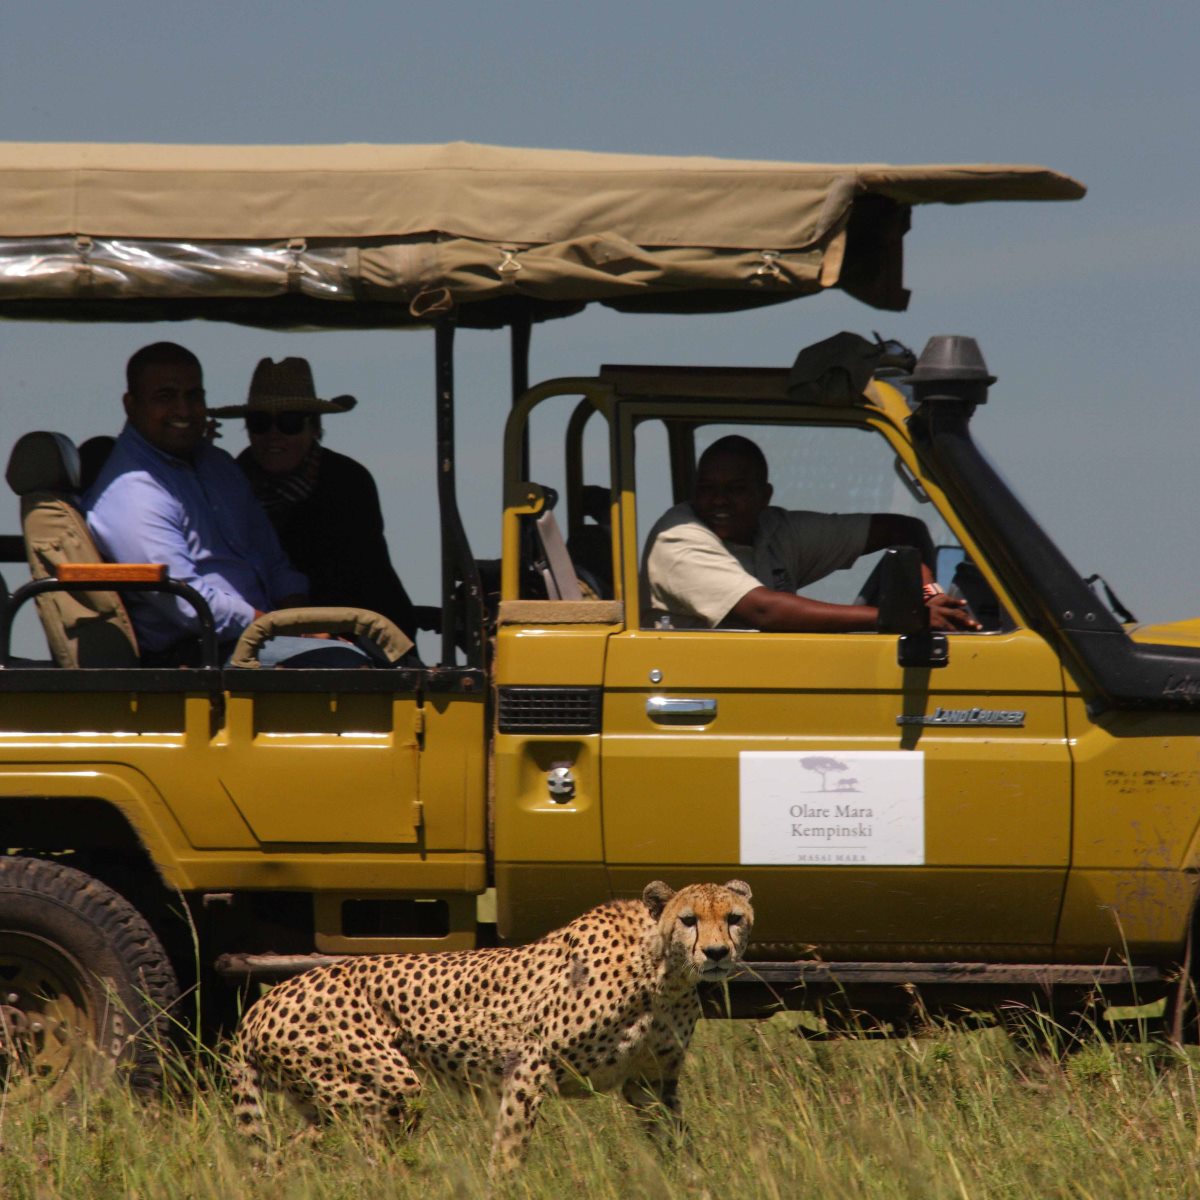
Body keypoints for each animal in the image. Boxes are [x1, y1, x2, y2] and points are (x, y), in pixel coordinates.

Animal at [230, 878, 753, 1166]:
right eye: (688, 919)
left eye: (734, 917)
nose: (716, 953)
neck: (662, 969)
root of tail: (260, 1007)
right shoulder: (530, 1065)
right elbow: (510, 1146)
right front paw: (500, 1183)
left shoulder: (651, 1083)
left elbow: (677, 1142)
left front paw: (693, 1179)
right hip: (386, 1089)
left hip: (329, 1099)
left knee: (295, 1152)